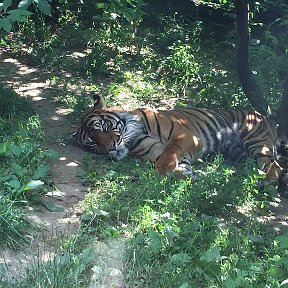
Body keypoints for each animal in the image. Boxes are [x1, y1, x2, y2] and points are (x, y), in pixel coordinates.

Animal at [75, 94, 288, 196]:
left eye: (103, 127)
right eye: (93, 144)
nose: (110, 148)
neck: (134, 135)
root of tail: (266, 116)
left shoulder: (186, 135)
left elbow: (170, 154)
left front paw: (164, 173)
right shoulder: (156, 150)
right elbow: (179, 166)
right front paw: (194, 178)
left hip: (257, 142)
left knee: (274, 166)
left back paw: (266, 183)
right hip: (239, 154)